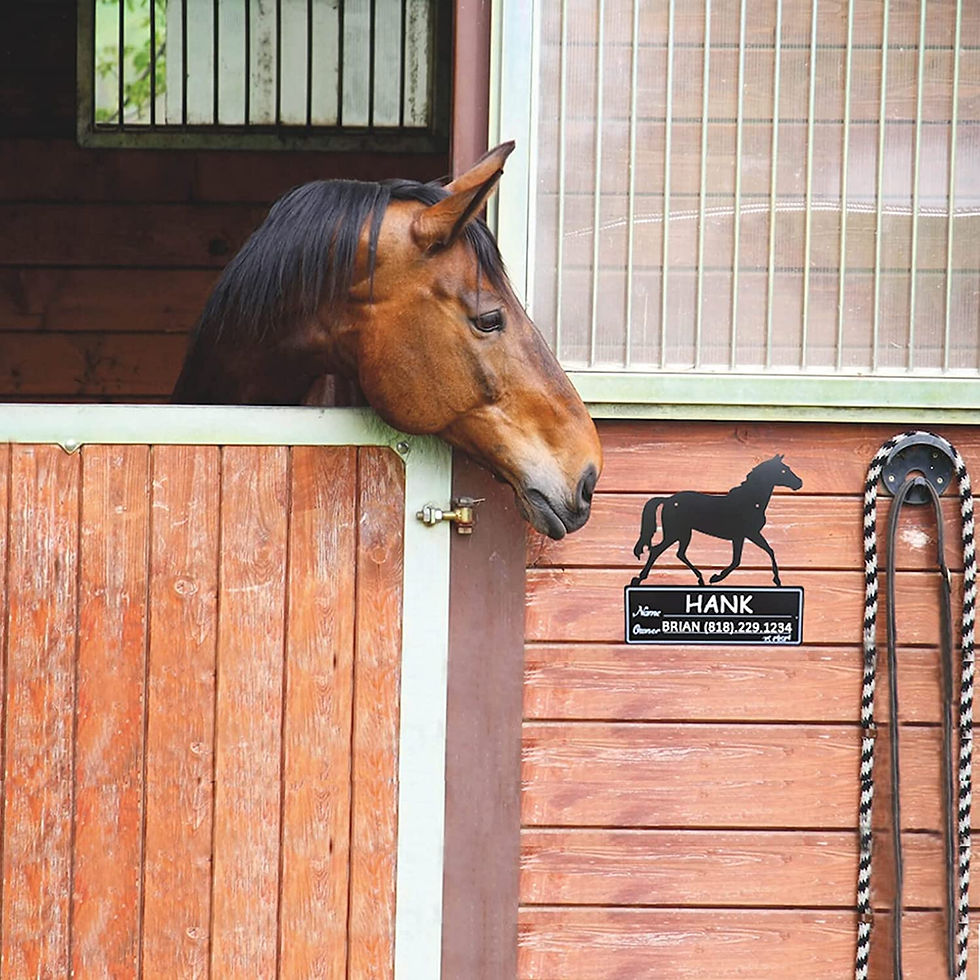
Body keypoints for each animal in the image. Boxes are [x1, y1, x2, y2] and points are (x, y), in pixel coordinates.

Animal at [631, 454, 803, 586]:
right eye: (783, 470)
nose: (799, 483)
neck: (751, 501)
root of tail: (668, 499)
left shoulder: (745, 535)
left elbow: (766, 551)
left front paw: (777, 580)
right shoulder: (746, 534)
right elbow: (739, 560)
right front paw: (716, 578)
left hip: (684, 533)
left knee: (680, 554)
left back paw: (700, 578)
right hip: (675, 533)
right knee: (657, 550)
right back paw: (639, 579)